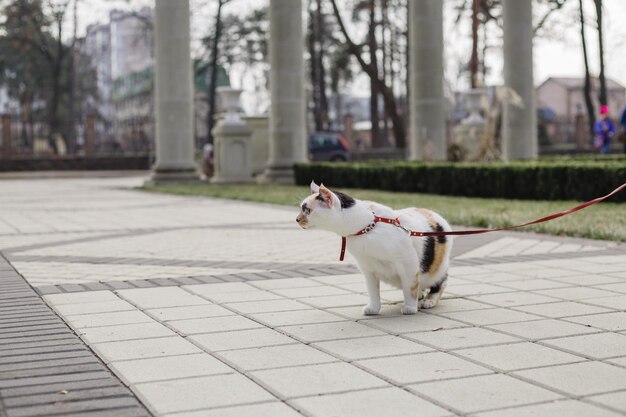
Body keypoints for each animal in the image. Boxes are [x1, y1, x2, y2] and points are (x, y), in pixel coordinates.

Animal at [294, 180, 450, 314]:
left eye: (308, 210)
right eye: (301, 209)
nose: (296, 219)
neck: (366, 227)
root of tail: (436, 215)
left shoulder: (408, 264)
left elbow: (410, 288)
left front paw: (410, 308)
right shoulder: (368, 269)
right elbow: (373, 291)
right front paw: (373, 308)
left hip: (438, 269)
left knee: (441, 282)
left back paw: (429, 300)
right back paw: (422, 294)